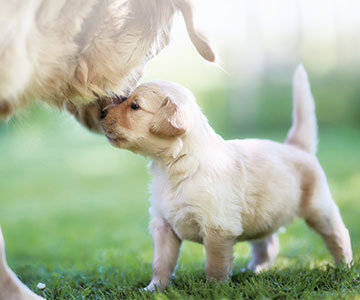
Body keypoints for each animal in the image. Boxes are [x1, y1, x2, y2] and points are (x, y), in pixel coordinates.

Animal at [101, 66, 352, 290]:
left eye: (135, 106)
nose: (101, 113)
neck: (174, 165)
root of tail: (296, 147)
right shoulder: (163, 225)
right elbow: (161, 263)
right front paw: (154, 289)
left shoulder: (218, 228)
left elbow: (215, 265)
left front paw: (215, 289)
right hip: (262, 215)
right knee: (268, 243)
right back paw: (254, 270)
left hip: (319, 208)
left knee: (338, 234)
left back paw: (345, 267)